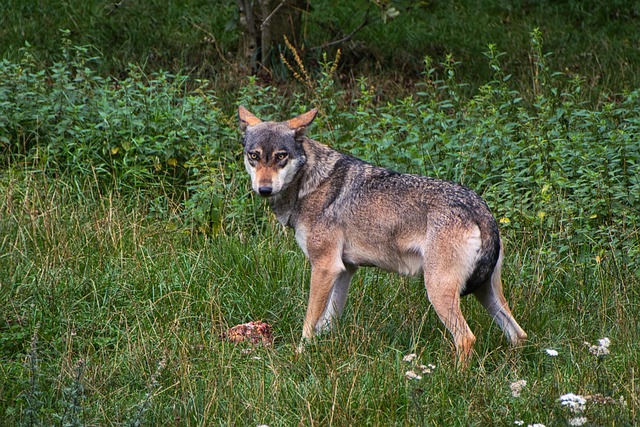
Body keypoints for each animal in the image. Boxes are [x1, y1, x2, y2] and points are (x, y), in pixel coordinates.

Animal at [238, 106, 527, 365]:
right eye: (254, 156)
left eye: (281, 156)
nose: (264, 189)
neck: (307, 183)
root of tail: (480, 208)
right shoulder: (344, 270)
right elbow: (328, 321)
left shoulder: (324, 267)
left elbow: (310, 322)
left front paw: (300, 354)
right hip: (485, 292)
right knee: (518, 334)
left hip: (438, 290)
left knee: (466, 338)